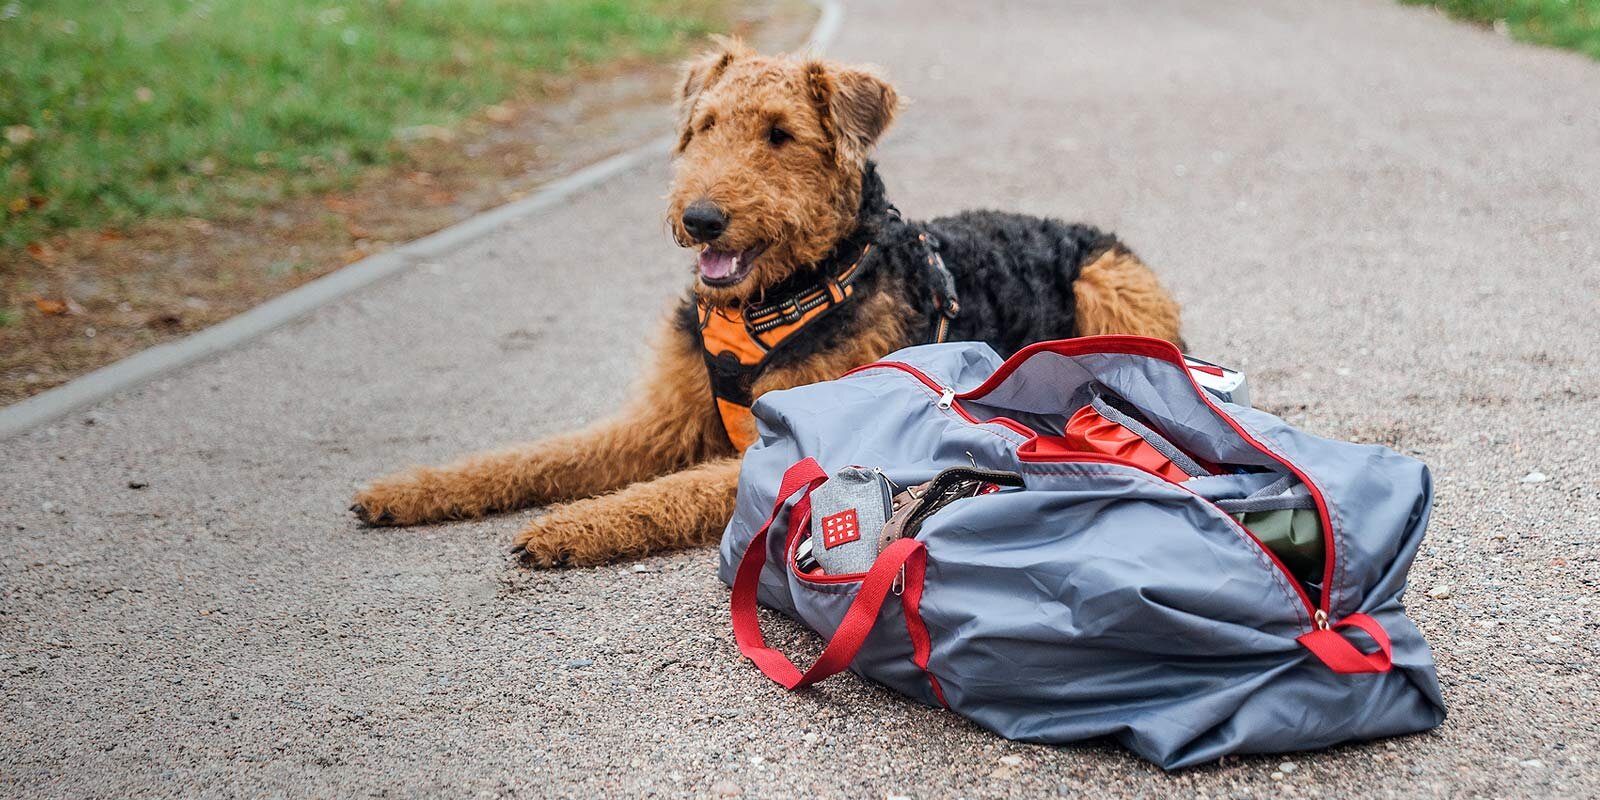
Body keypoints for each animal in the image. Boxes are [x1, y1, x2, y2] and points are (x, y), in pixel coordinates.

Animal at [356, 40, 1184, 566]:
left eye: (782, 134)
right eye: (705, 125)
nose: (700, 218)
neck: (776, 300)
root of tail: (1081, 227)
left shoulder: (791, 447)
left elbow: (659, 492)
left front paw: (571, 527)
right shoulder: (659, 420)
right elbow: (537, 456)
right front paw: (409, 490)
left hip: (1107, 286)